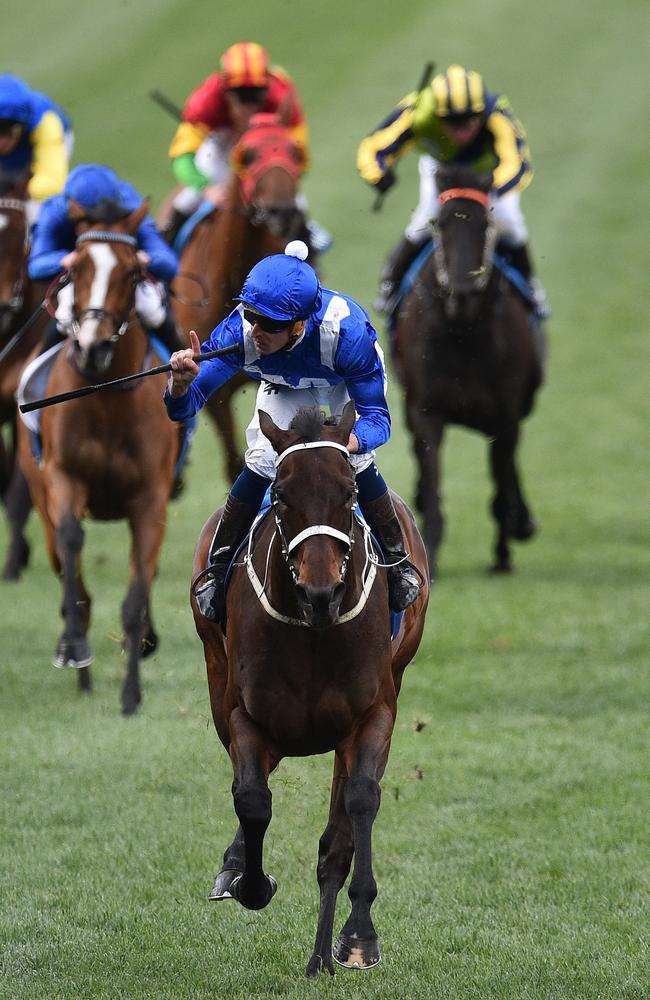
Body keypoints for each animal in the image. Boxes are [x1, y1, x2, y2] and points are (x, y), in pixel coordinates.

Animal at [19, 207, 178, 716]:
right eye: (77, 269)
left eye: (131, 272)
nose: (92, 348)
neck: (107, 395)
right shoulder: (64, 479)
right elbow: (72, 547)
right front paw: (75, 649)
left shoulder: (150, 499)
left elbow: (136, 593)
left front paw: (131, 695)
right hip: (40, 495)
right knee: (63, 562)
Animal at [190, 404, 428, 976]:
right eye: (279, 494)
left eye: (349, 491)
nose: (321, 591)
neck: (313, 627)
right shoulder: (246, 716)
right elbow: (252, 800)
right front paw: (250, 882)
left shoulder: (373, 715)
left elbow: (357, 808)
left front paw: (359, 936)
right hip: (218, 678)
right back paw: (235, 867)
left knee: (338, 833)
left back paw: (323, 952)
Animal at [392, 166, 544, 580]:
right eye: (441, 224)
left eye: (485, 224)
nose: (462, 294)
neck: (462, 331)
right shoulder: (425, 411)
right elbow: (432, 480)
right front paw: (429, 552)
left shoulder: (505, 417)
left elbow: (501, 483)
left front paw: (503, 552)